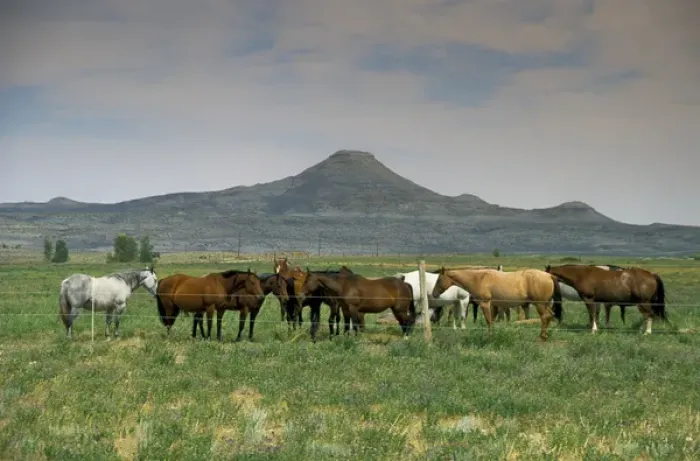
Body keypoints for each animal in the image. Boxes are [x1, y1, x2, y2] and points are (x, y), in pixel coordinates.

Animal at [432, 267, 563, 341]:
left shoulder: (485, 304)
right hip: (545, 305)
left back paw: (541, 337)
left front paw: (489, 337)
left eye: (438, 280)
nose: (434, 294)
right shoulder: (494, 305)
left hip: (540, 304)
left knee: (544, 318)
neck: (479, 278)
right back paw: (545, 336)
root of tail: (549, 275)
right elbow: (492, 320)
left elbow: (489, 321)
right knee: (549, 316)